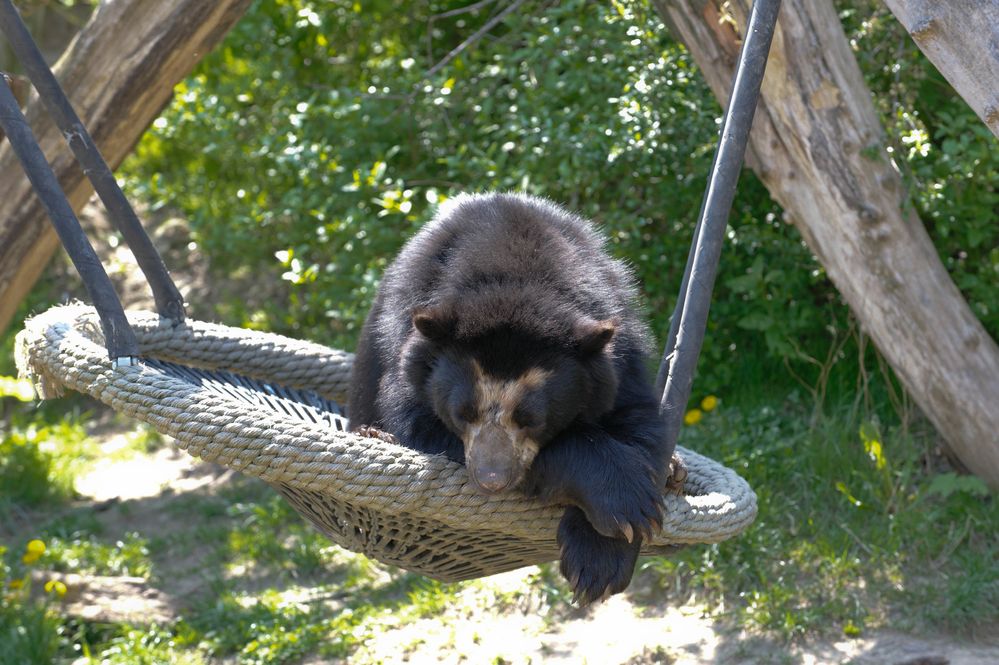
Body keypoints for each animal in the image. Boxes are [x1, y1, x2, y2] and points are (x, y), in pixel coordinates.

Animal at [346, 191, 680, 600]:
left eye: (531, 420)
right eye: (462, 413)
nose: (492, 479)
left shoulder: (621, 355)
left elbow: (638, 424)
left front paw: (603, 559)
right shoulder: (407, 358)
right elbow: (416, 422)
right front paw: (624, 507)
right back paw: (374, 435)